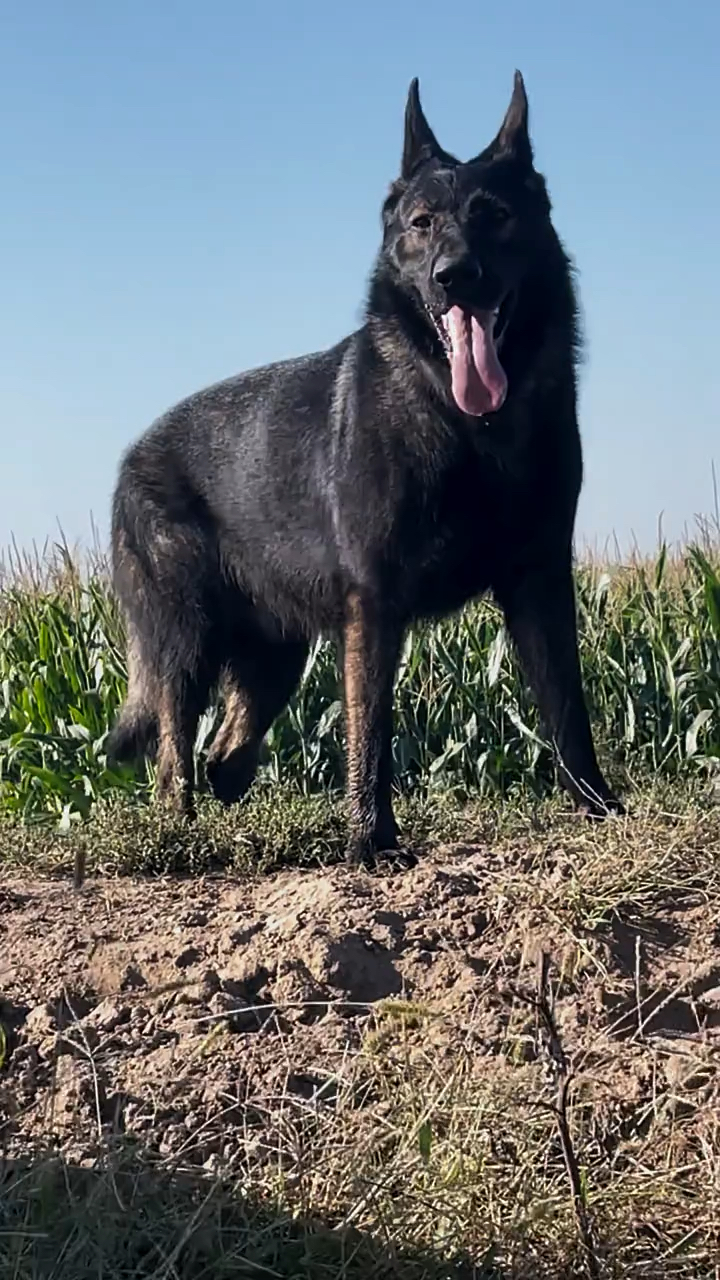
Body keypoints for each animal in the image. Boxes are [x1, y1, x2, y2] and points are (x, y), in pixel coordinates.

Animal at [107, 74, 622, 865]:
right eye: (422, 223)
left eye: (495, 216)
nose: (454, 277)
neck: (468, 430)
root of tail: (133, 454)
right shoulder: (375, 605)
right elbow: (372, 730)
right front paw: (371, 840)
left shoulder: (539, 583)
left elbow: (569, 708)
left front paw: (598, 810)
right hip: (186, 647)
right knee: (174, 757)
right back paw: (180, 833)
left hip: (275, 661)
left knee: (227, 753)